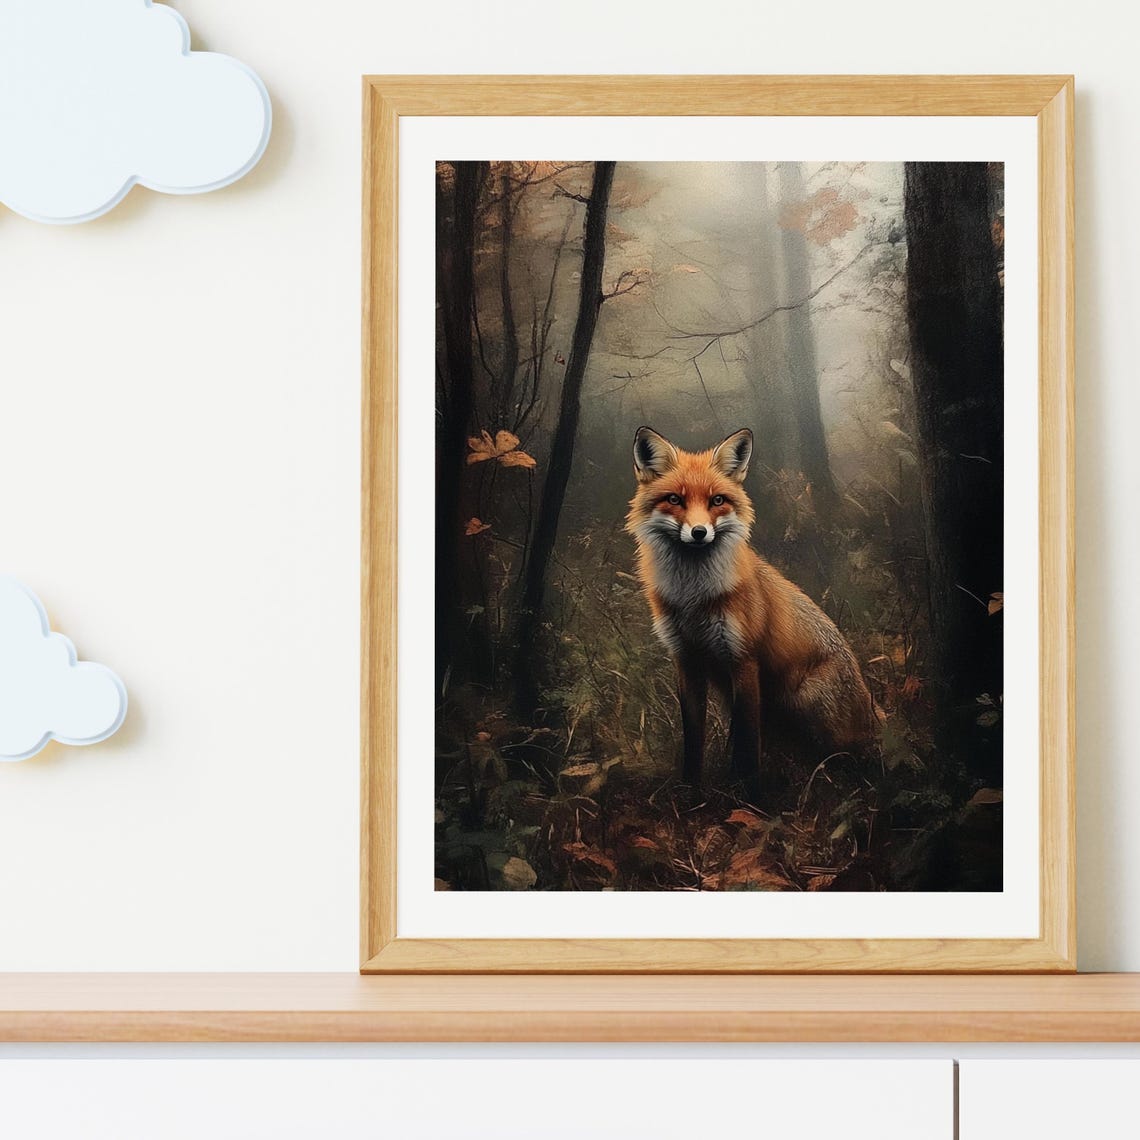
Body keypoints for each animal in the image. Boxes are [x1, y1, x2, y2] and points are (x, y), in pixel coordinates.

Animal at [625, 425, 878, 794]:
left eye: (717, 501)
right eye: (675, 499)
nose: (699, 533)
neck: (693, 599)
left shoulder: (743, 659)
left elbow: (745, 740)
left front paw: (745, 792)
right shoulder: (686, 659)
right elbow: (693, 736)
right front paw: (690, 790)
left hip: (805, 701)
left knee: (846, 755)